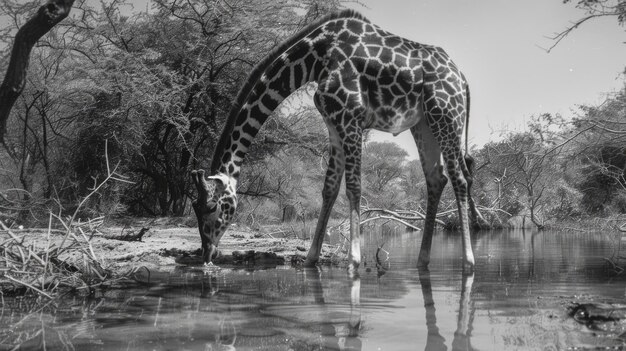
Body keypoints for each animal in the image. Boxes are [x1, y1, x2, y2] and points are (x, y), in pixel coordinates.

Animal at [191, 8, 478, 272]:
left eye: (213, 207)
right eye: (196, 208)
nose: (207, 254)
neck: (316, 57)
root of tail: (463, 79)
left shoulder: (350, 116)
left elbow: (353, 186)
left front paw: (354, 259)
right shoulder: (333, 122)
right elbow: (329, 188)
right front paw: (310, 258)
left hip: (447, 117)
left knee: (459, 178)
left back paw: (468, 261)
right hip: (423, 124)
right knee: (436, 178)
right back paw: (422, 260)